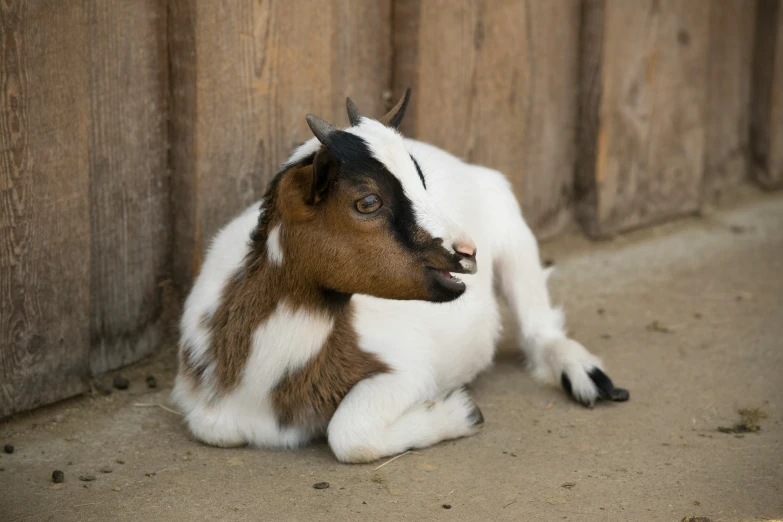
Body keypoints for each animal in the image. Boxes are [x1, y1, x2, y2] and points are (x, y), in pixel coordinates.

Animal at [173, 90, 632, 464]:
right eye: (367, 202)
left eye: (421, 181)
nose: (467, 252)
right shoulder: (206, 412)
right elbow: (216, 429)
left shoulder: (408, 371)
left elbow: (348, 433)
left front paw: (461, 413)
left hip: (512, 230)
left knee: (538, 325)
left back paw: (587, 377)